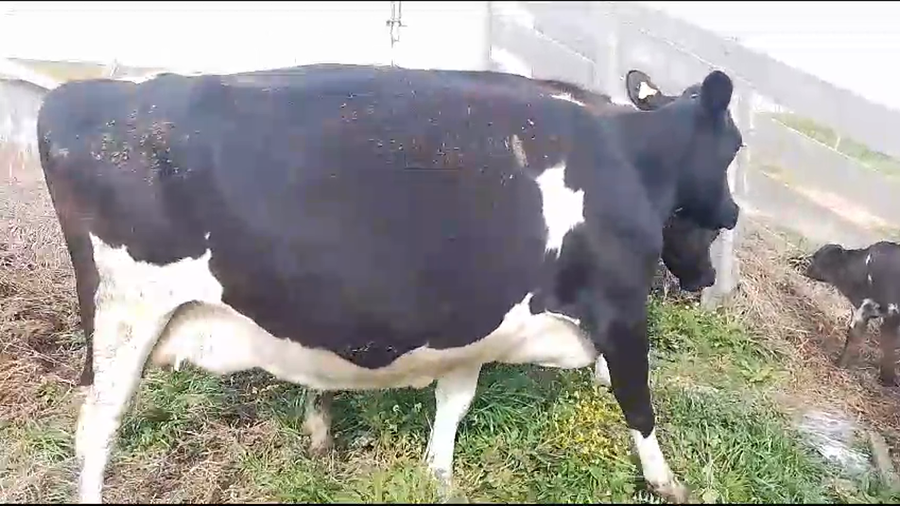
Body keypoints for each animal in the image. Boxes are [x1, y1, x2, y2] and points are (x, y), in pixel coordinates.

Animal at [37, 63, 742, 503]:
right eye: (733, 147)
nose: (734, 215)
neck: (632, 159)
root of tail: (78, 96)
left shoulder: (478, 321)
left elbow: (454, 402)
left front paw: (439, 476)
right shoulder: (620, 307)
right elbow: (639, 401)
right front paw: (668, 482)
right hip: (126, 315)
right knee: (95, 431)